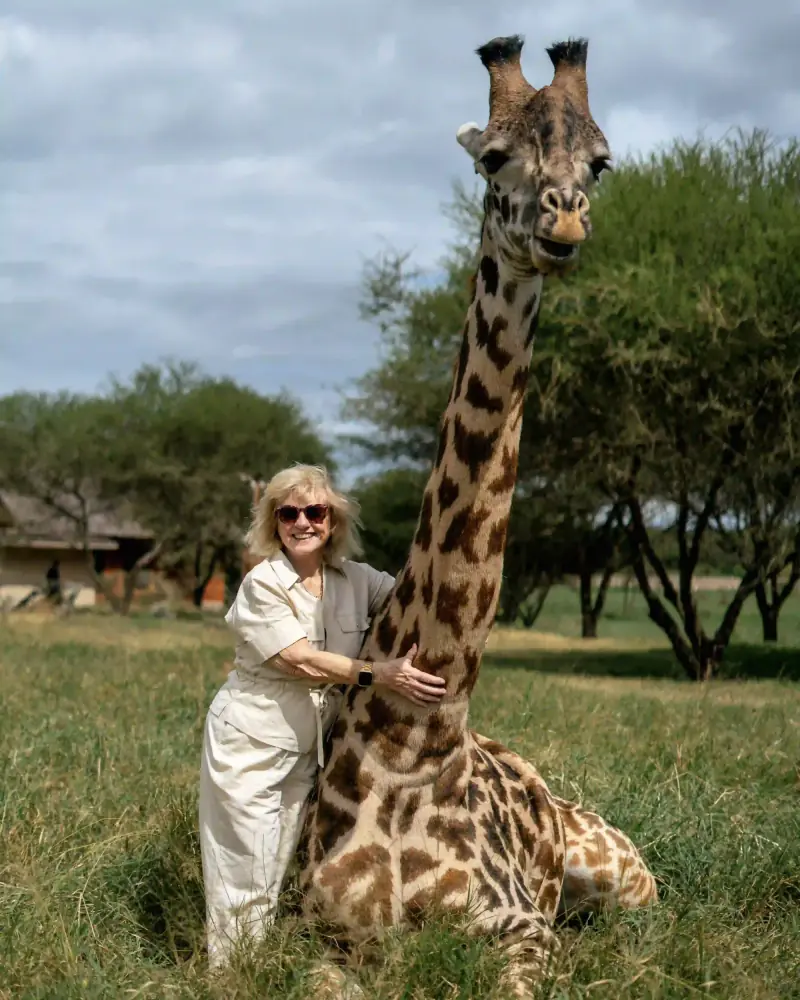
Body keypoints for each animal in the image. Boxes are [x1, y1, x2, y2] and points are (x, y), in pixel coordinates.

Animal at [298, 36, 656, 995]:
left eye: (601, 163)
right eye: (494, 158)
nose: (563, 228)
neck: (412, 743)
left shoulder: (520, 928)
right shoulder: (311, 933)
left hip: (622, 872)